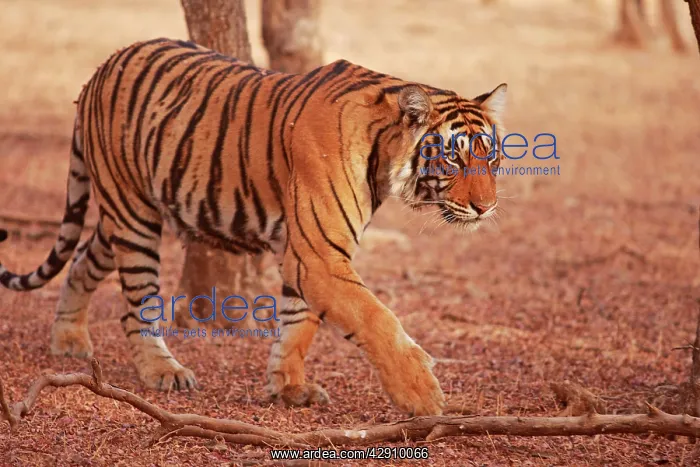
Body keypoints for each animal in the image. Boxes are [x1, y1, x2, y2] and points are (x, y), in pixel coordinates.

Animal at [0, 38, 507, 416]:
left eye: (492, 157)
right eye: (455, 158)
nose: (486, 208)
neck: (383, 153)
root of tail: (101, 67)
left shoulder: (303, 249)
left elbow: (300, 322)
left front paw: (289, 387)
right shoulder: (318, 254)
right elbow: (374, 317)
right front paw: (422, 394)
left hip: (119, 214)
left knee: (81, 262)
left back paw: (68, 339)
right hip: (132, 213)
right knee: (136, 305)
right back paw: (164, 371)